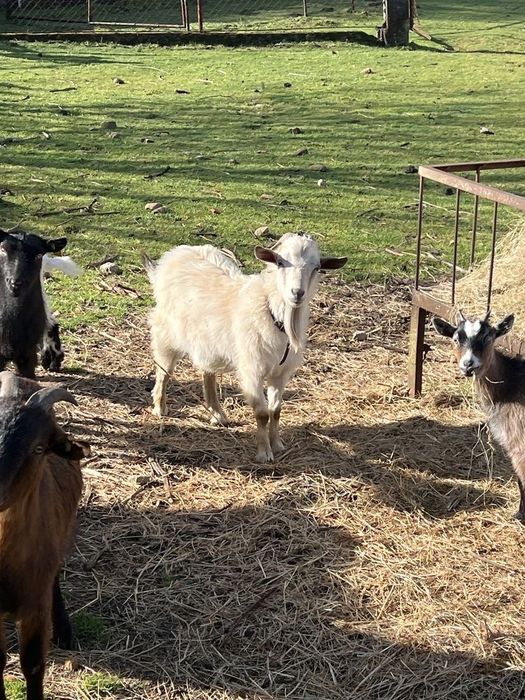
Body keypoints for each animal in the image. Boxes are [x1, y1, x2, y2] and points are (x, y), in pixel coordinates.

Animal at [144, 233, 347, 462]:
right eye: (280, 262)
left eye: (317, 267)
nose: (297, 293)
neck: (272, 312)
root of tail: (174, 255)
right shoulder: (252, 370)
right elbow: (262, 413)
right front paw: (264, 453)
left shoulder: (280, 373)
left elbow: (276, 410)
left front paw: (277, 445)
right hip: (166, 333)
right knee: (164, 371)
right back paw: (160, 407)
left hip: (207, 342)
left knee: (207, 373)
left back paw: (218, 414)